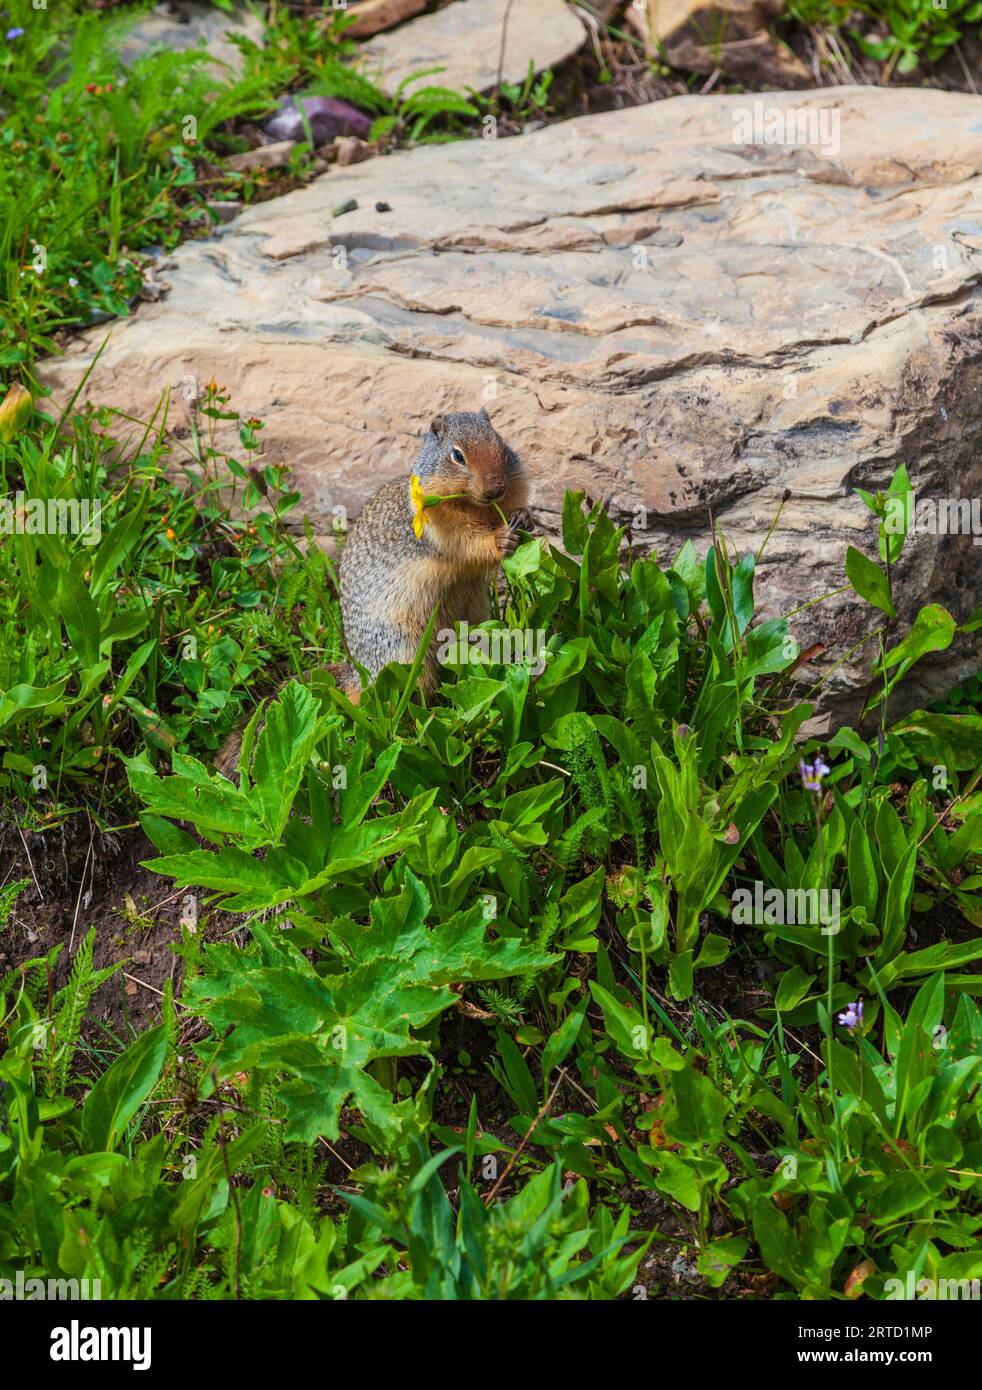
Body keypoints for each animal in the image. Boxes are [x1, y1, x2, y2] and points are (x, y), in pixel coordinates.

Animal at [215, 408, 528, 783]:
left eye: (500, 443)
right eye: (457, 456)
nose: (496, 488)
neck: (476, 505)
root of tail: (357, 672)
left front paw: (523, 518)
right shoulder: (442, 522)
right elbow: (469, 542)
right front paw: (501, 539)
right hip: (403, 653)